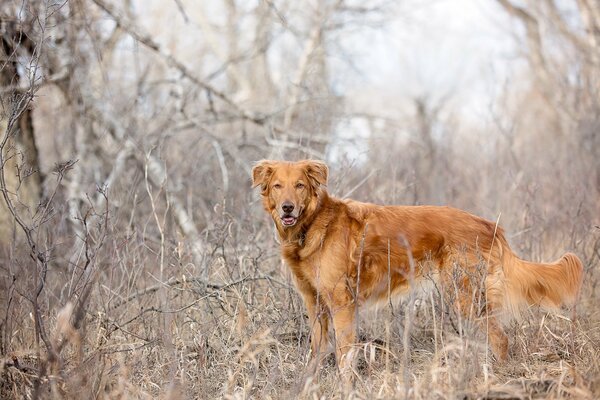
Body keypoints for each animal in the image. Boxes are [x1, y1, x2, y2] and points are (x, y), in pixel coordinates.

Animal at [251, 159, 584, 368]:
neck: (312, 225)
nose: (287, 208)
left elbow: (345, 356)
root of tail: (489, 225)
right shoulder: (315, 303)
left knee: (501, 339)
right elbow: (317, 352)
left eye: (300, 185)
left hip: (464, 295)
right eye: (278, 186)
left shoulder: (342, 302)